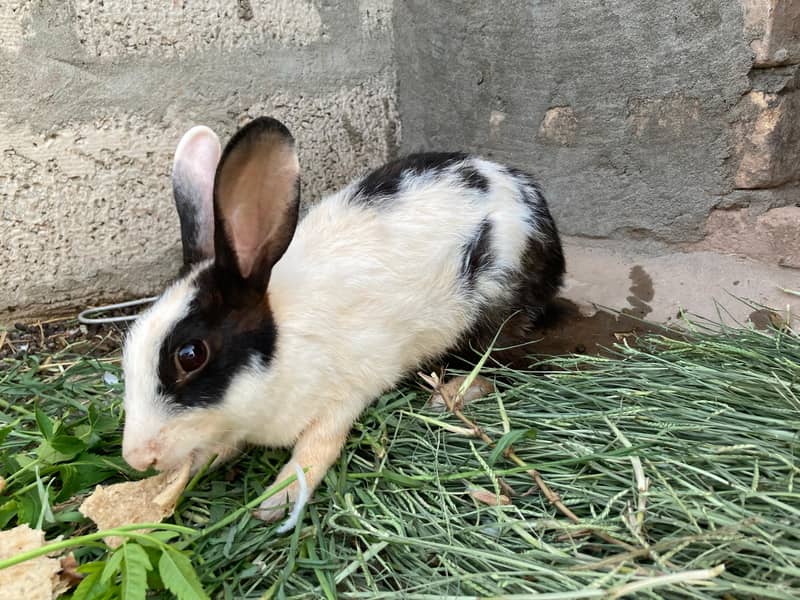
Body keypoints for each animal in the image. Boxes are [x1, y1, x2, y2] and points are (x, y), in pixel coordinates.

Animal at [121, 116, 565, 524]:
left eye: (190, 355)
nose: (136, 458)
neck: (283, 349)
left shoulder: (343, 398)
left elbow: (316, 450)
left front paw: (275, 503)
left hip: (497, 308)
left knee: (501, 365)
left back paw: (449, 395)